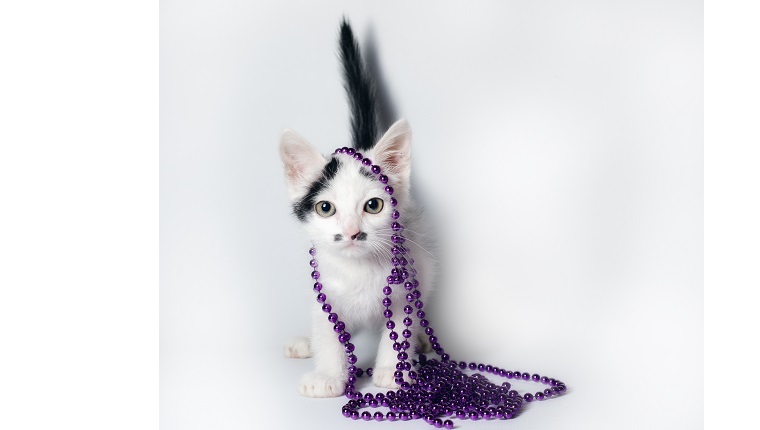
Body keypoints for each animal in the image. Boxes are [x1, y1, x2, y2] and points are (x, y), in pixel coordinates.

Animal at [280, 19, 434, 396]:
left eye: (373, 205)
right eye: (325, 208)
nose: (351, 232)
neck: (359, 270)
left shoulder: (404, 289)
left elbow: (399, 331)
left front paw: (392, 372)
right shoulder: (326, 295)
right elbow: (328, 334)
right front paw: (327, 377)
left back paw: (423, 342)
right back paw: (304, 344)